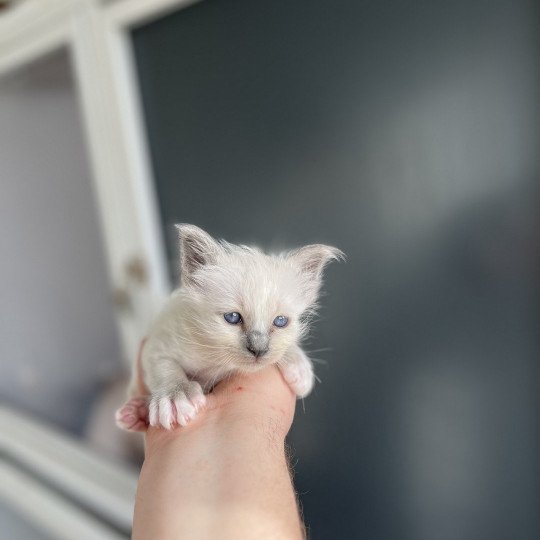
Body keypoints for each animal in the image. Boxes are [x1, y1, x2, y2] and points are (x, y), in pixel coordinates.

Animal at [115, 224, 342, 430]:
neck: (217, 362)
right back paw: (134, 411)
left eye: (280, 322)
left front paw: (299, 368)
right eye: (232, 317)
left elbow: (284, 350)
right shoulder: (157, 343)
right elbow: (165, 367)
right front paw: (176, 397)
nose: (258, 350)